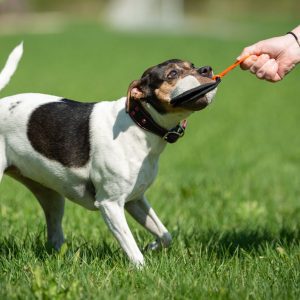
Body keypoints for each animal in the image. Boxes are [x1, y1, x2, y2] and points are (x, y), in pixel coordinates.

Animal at [0, 43, 217, 266]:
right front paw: (143, 269)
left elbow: (165, 235)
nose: (206, 69)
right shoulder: (111, 204)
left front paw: (152, 246)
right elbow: (133, 250)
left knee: (55, 236)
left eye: (192, 65)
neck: (139, 123)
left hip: (51, 196)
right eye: (172, 74)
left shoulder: (135, 200)